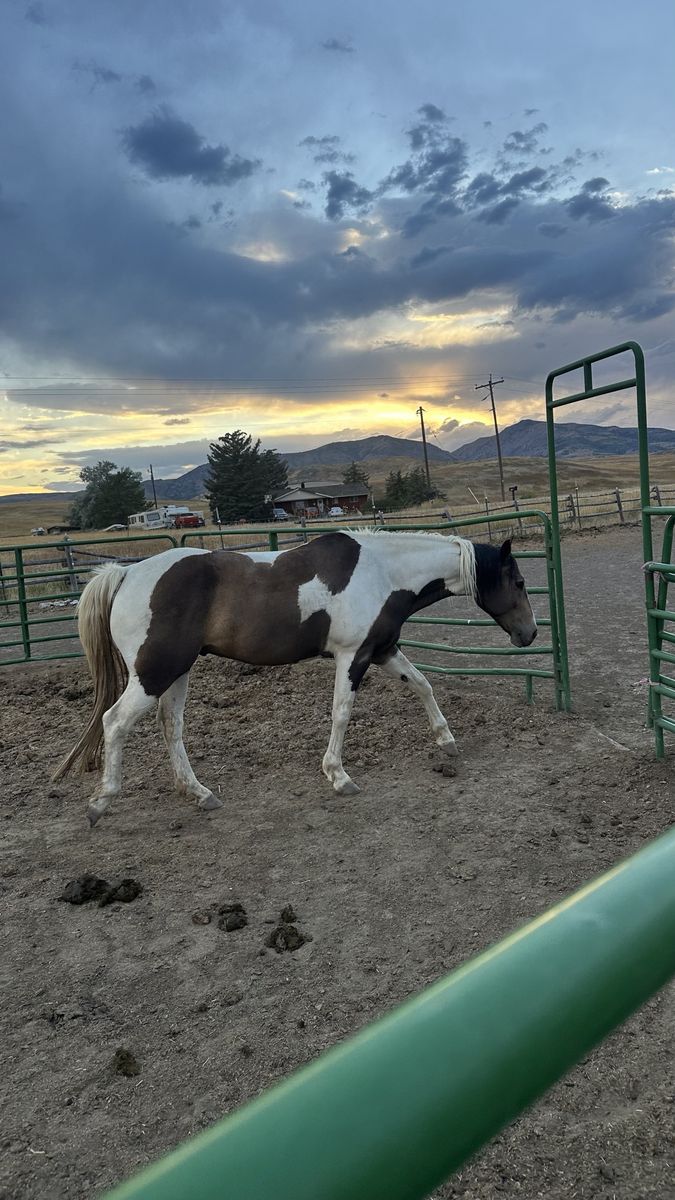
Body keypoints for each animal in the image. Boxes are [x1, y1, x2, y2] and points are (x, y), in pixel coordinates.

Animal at [53, 529, 537, 825]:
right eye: (517, 581)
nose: (529, 634)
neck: (383, 572)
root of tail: (127, 572)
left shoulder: (382, 650)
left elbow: (422, 685)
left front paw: (446, 740)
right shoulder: (353, 656)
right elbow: (341, 714)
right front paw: (338, 776)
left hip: (175, 671)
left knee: (171, 727)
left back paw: (199, 792)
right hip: (154, 673)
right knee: (115, 722)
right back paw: (101, 802)